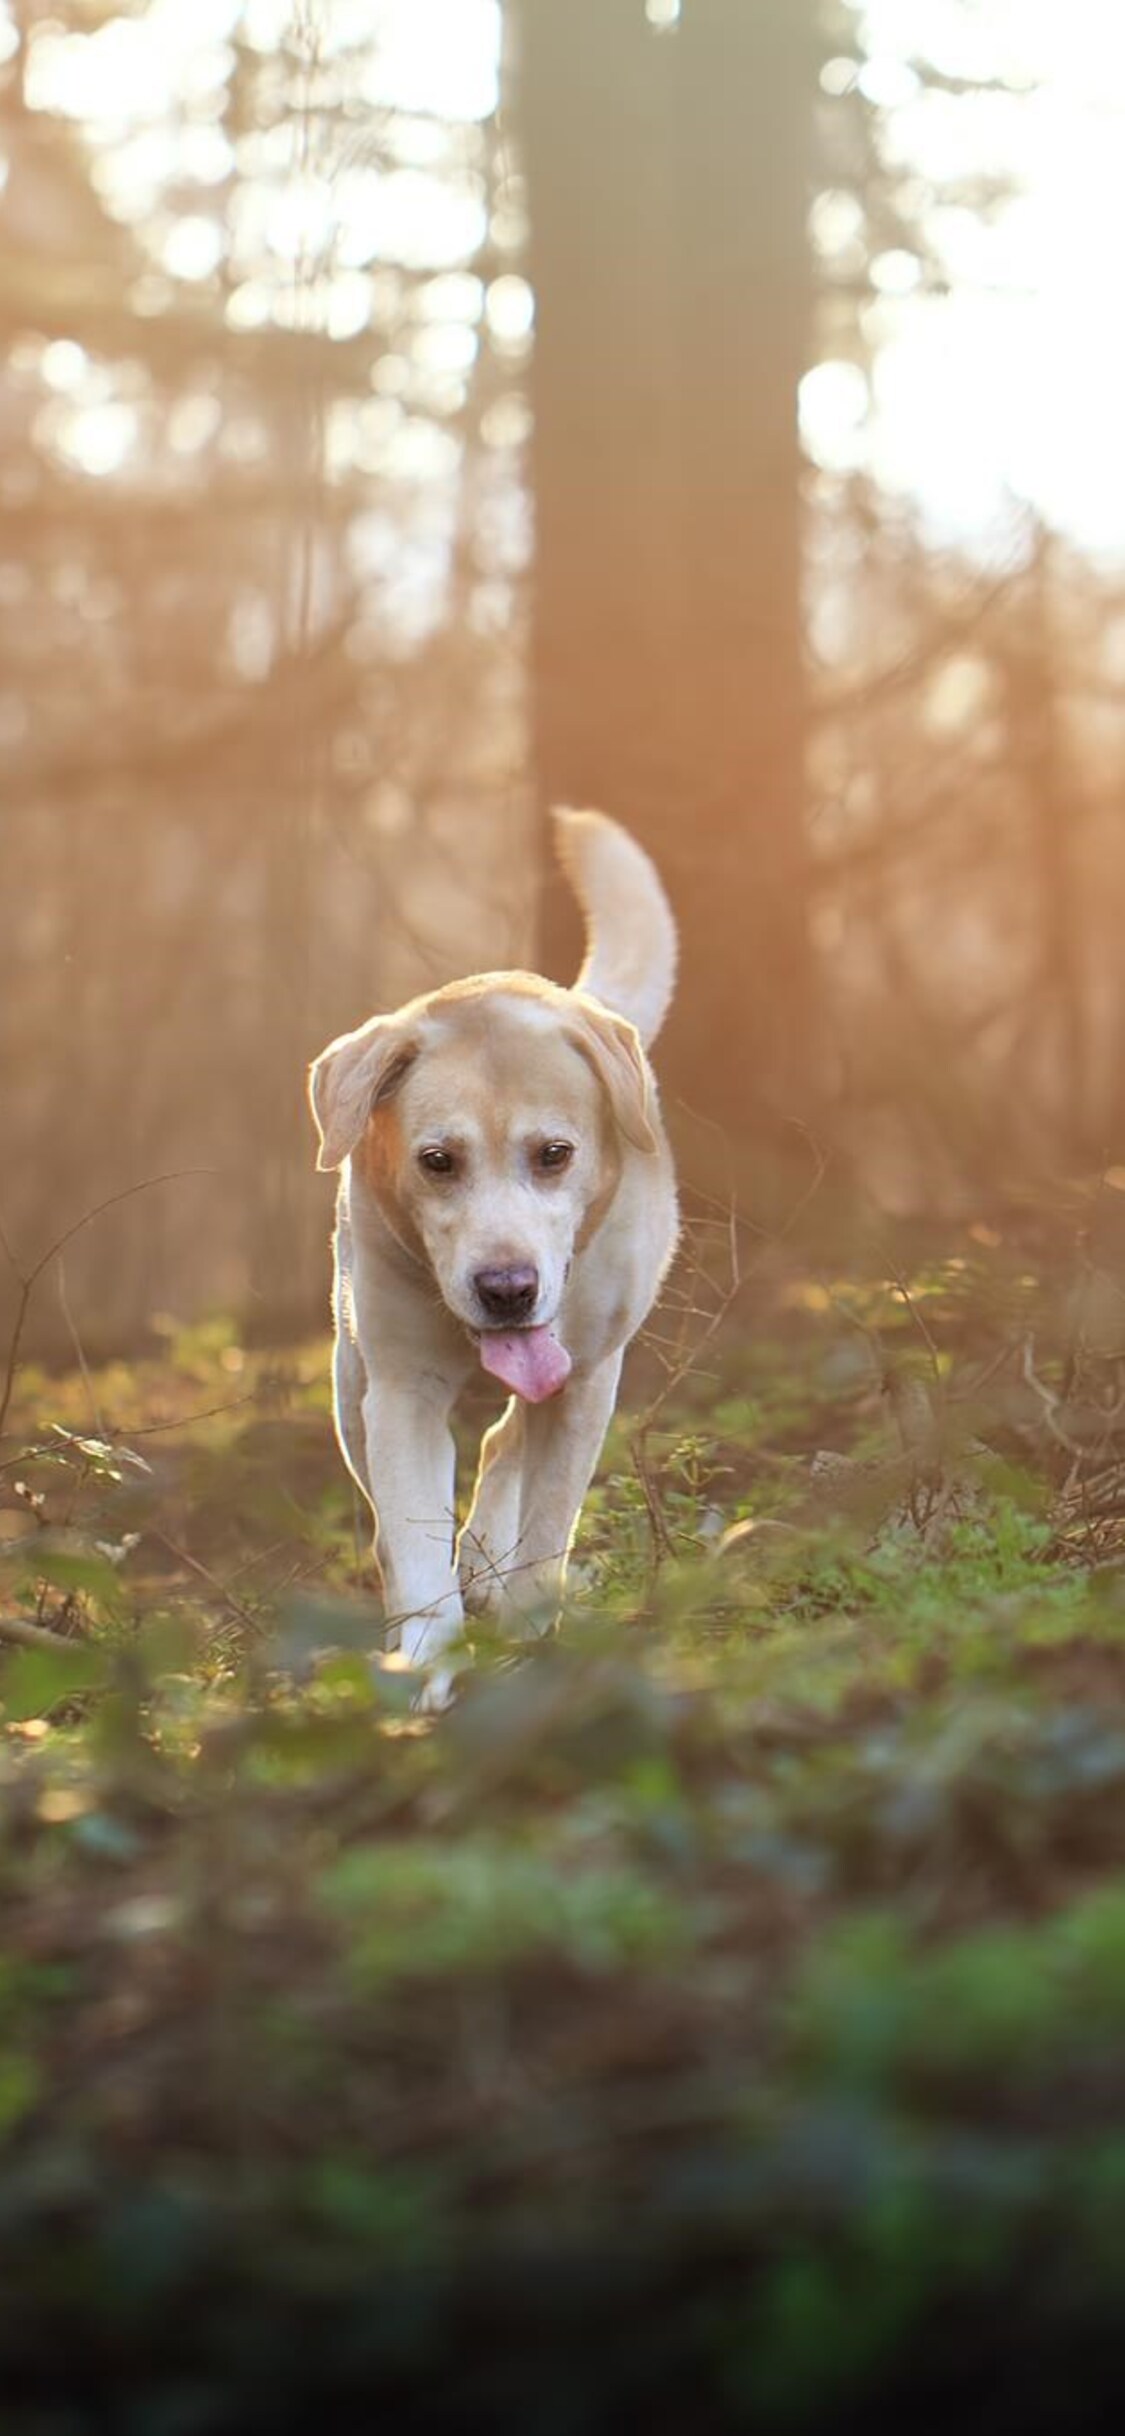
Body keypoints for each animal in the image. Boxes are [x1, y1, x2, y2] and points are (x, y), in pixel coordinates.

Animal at [305, 808, 676, 1685]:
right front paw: (425, 1667)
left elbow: (545, 1531)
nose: (506, 1288)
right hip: (348, 1378)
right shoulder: (400, 1389)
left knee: (508, 1438)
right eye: (437, 1161)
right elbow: (411, 1542)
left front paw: (526, 1640)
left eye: (555, 1154)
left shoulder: (585, 1385)